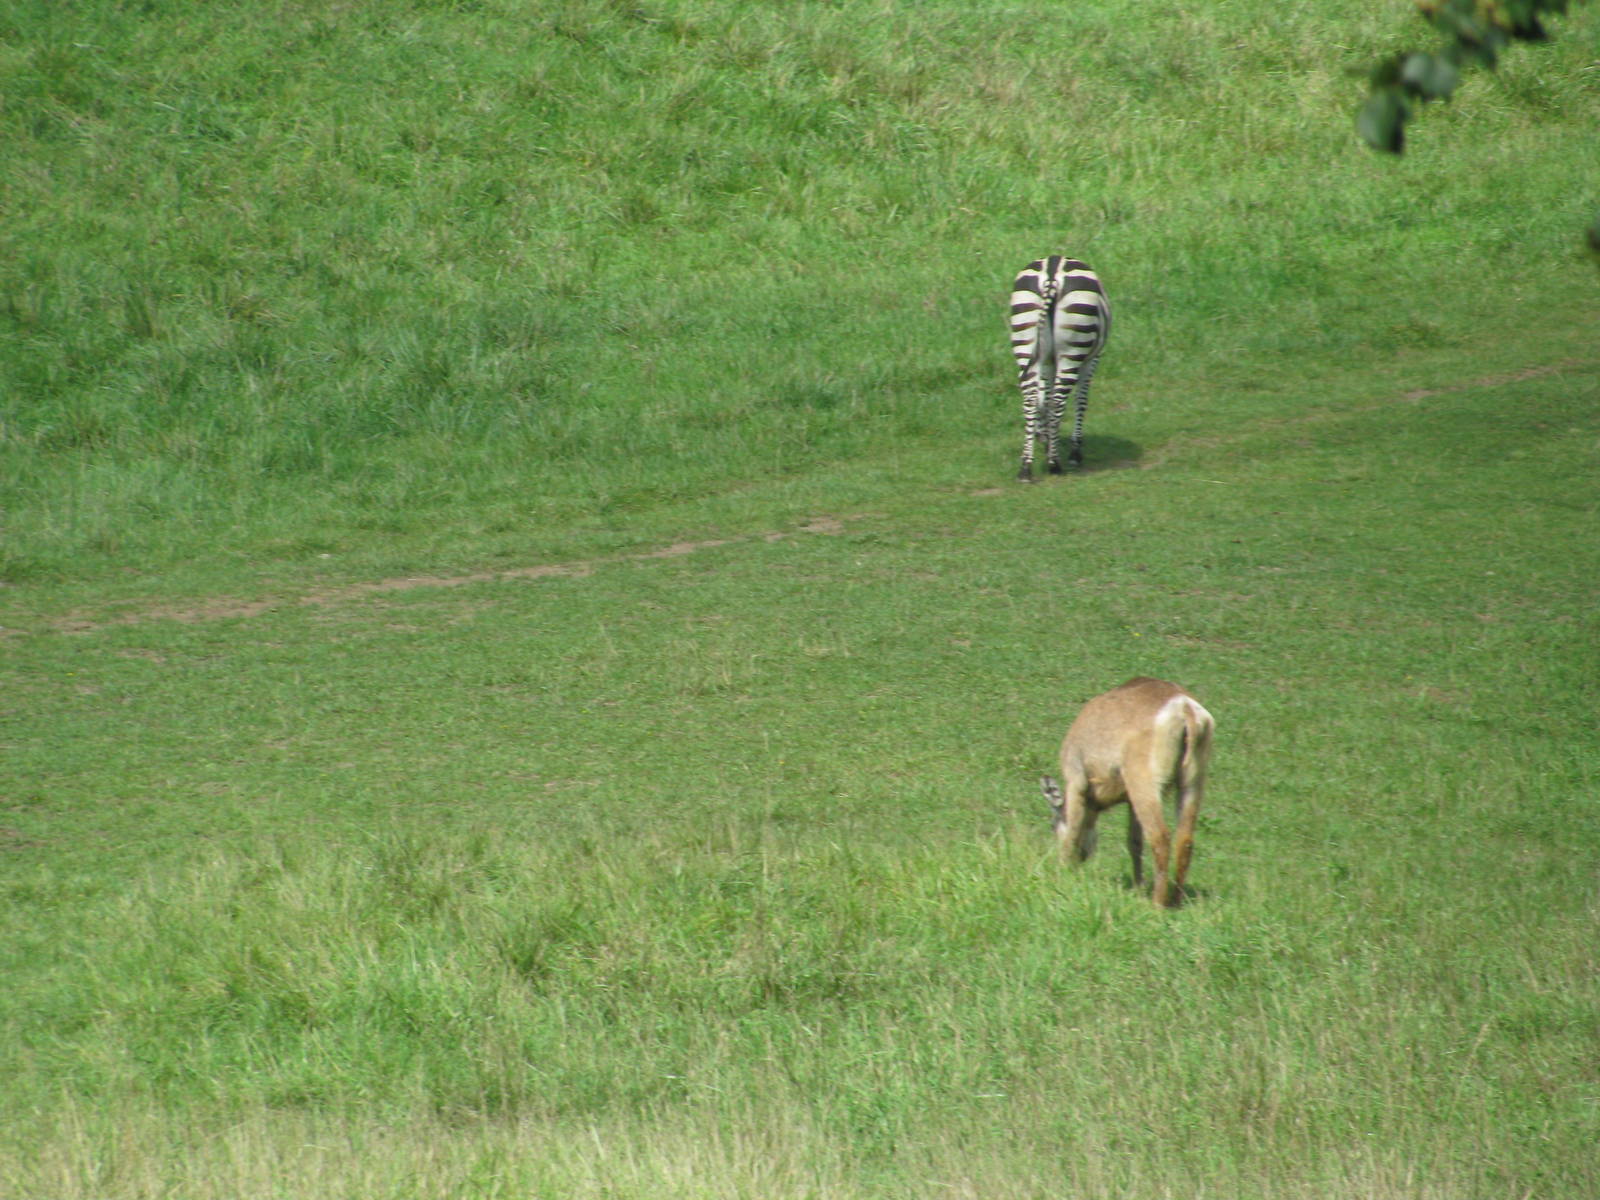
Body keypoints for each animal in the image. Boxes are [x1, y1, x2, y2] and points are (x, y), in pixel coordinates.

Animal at [1009, 256, 1111, 482]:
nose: (1040, 437)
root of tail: (1052, 271)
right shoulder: (1092, 360)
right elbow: (1080, 400)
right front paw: (1074, 451)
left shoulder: (1047, 361)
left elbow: (1044, 398)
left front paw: (1047, 440)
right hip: (1073, 348)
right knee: (1058, 402)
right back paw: (1054, 464)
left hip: (1025, 336)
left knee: (1030, 399)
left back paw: (1026, 467)